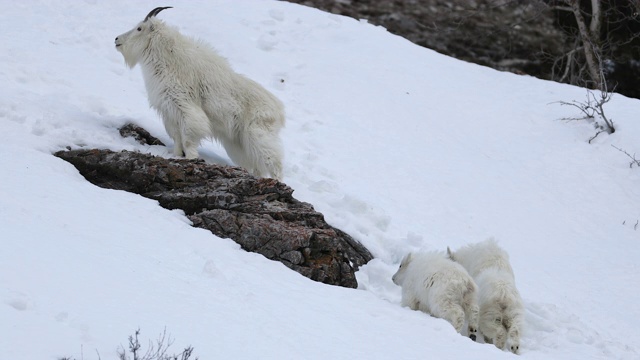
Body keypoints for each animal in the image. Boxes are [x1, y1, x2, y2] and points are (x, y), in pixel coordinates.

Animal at [114, 8, 284, 181]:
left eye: (139, 28)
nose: (117, 39)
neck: (168, 60)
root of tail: (279, 110)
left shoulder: (186, 108)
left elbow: (188, 139)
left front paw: (191, 159)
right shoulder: (170, 113)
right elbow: (177, 139)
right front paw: (176, 156)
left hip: (259, 135)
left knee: (274, 162)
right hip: (240, 143)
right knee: (257, 166)